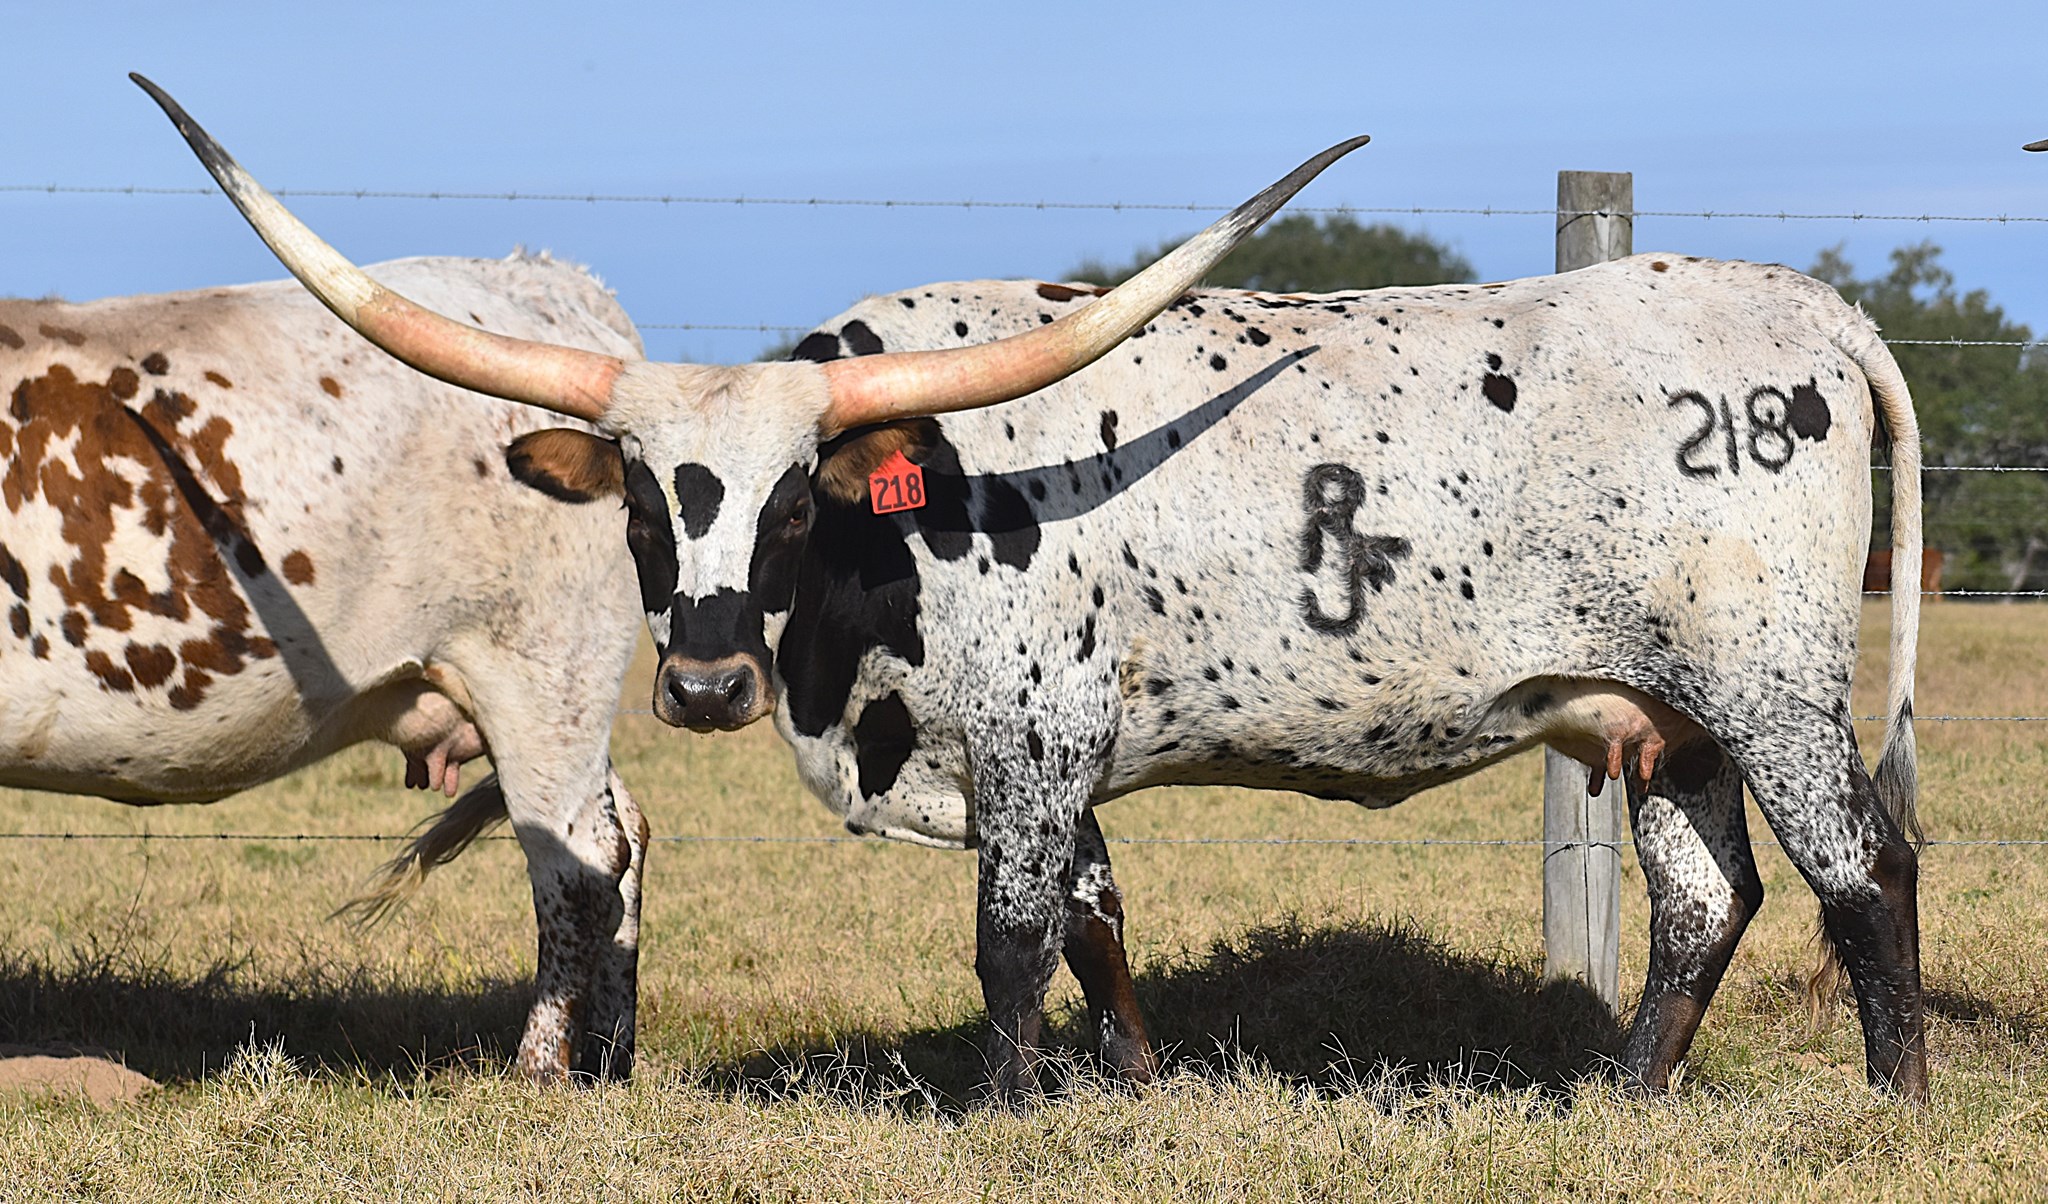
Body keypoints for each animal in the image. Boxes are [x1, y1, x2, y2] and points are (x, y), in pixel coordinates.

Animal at [1, 250, 653, 1084]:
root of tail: (546, 281)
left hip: (541, 676)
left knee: (582, 865)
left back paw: (540, 1074)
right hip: (559, 700)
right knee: (625, 835)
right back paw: (609, 1058)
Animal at [140, 77, 1927, 1104]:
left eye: (794, 500)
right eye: (644, 502)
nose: (705, 685)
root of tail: (1810, 315)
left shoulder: (1039, 731)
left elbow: (1012, 938)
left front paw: (1004, 1109)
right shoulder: (1045, 763)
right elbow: (1094, 917)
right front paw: (1131, 1091)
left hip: (1774, 689)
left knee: (1863, 874)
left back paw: (1893, 1106)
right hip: (1667, 716)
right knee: (1709, 902)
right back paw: (1619, 1101)